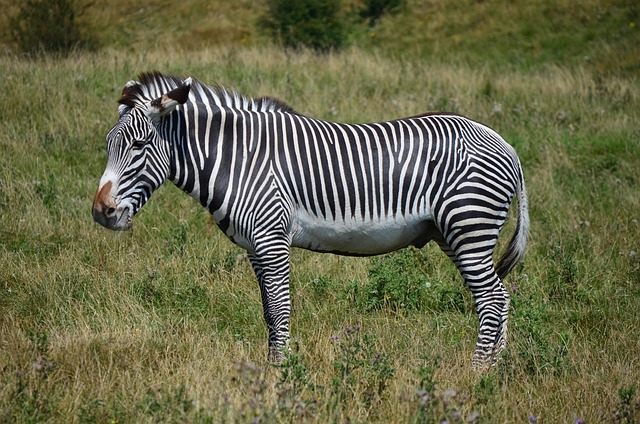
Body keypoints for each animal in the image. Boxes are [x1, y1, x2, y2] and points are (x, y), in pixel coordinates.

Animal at [91, 71, 528, 370]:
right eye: (109, 145)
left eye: (139, 145)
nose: (101, 212)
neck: (237, 159)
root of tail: (501, 140)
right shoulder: (254, 246)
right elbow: (268, 311)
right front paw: (272, 367)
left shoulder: (271, 236)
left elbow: (280, 308)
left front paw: (281, 374)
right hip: (453, 233)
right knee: (499, 297)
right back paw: (495, 371)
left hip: (469, 226)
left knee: (492, 299)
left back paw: (475, 373)